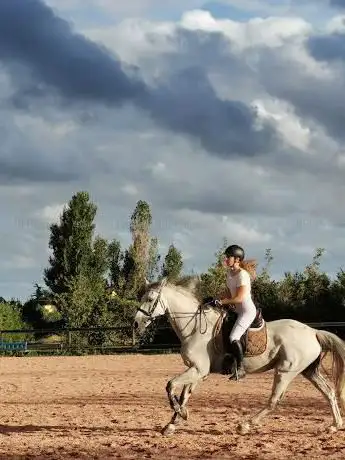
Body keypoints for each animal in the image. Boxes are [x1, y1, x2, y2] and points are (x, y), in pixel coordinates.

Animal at [133, 274, 344, 436]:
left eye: (150, 299)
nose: (135, 324)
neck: (194, 328)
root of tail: (312, 331)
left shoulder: (198, 370)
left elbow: (170, 385)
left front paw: (179, 413)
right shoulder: (198, 371)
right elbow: (185, 394)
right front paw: (173, 423)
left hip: (285, 371)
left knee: (274, 401)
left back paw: (245, 425)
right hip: (308, 371)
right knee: (329, 392)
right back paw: (334, 426)